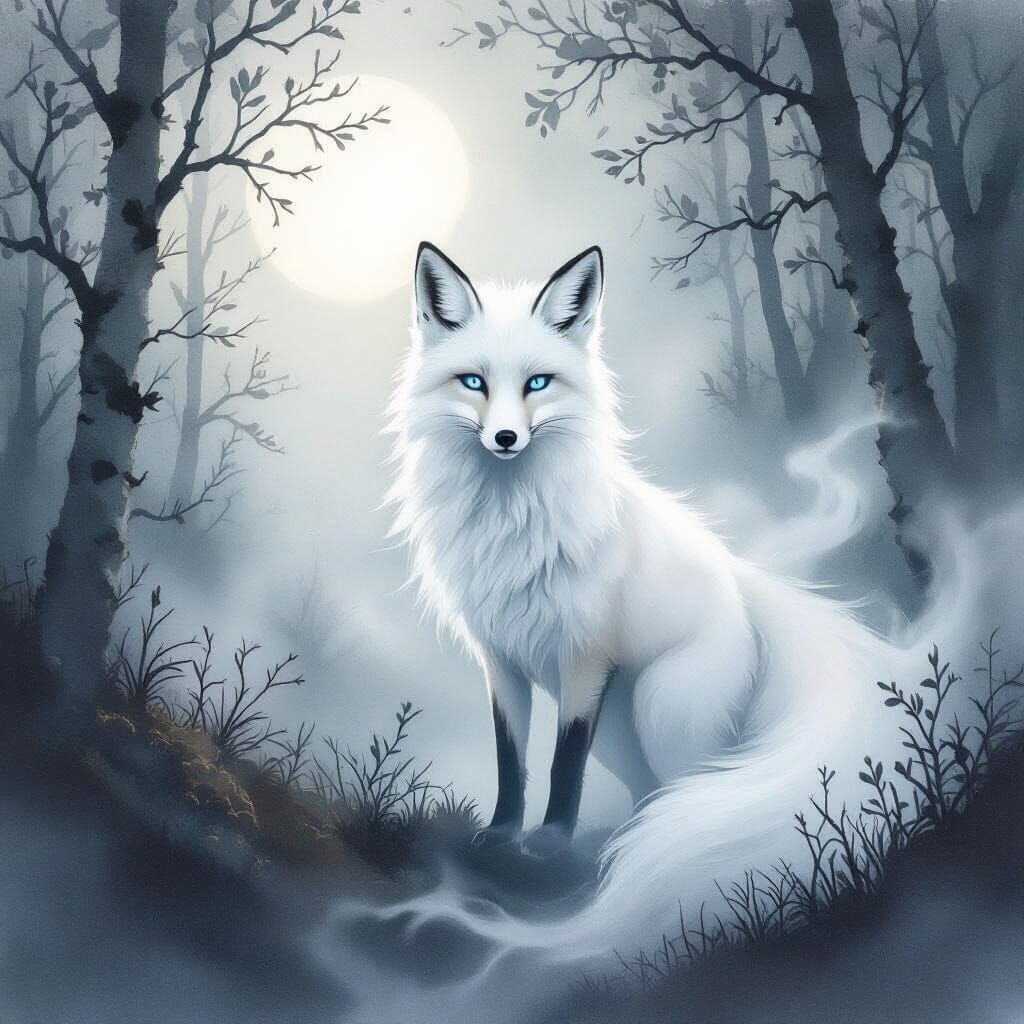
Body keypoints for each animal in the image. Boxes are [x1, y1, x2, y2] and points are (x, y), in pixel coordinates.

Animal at [386, 241, 996, 958]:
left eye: (537, 383)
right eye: (473, 382)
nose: (506, 439)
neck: (510, 523)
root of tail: (739, 581)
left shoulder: (583, 658)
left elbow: (562, 765)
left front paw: (551, 842)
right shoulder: (500, 659)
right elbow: (512, 760)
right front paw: (504, 832)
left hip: (661, 713)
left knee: (696, 786)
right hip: (624, 735)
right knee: (653, 790)